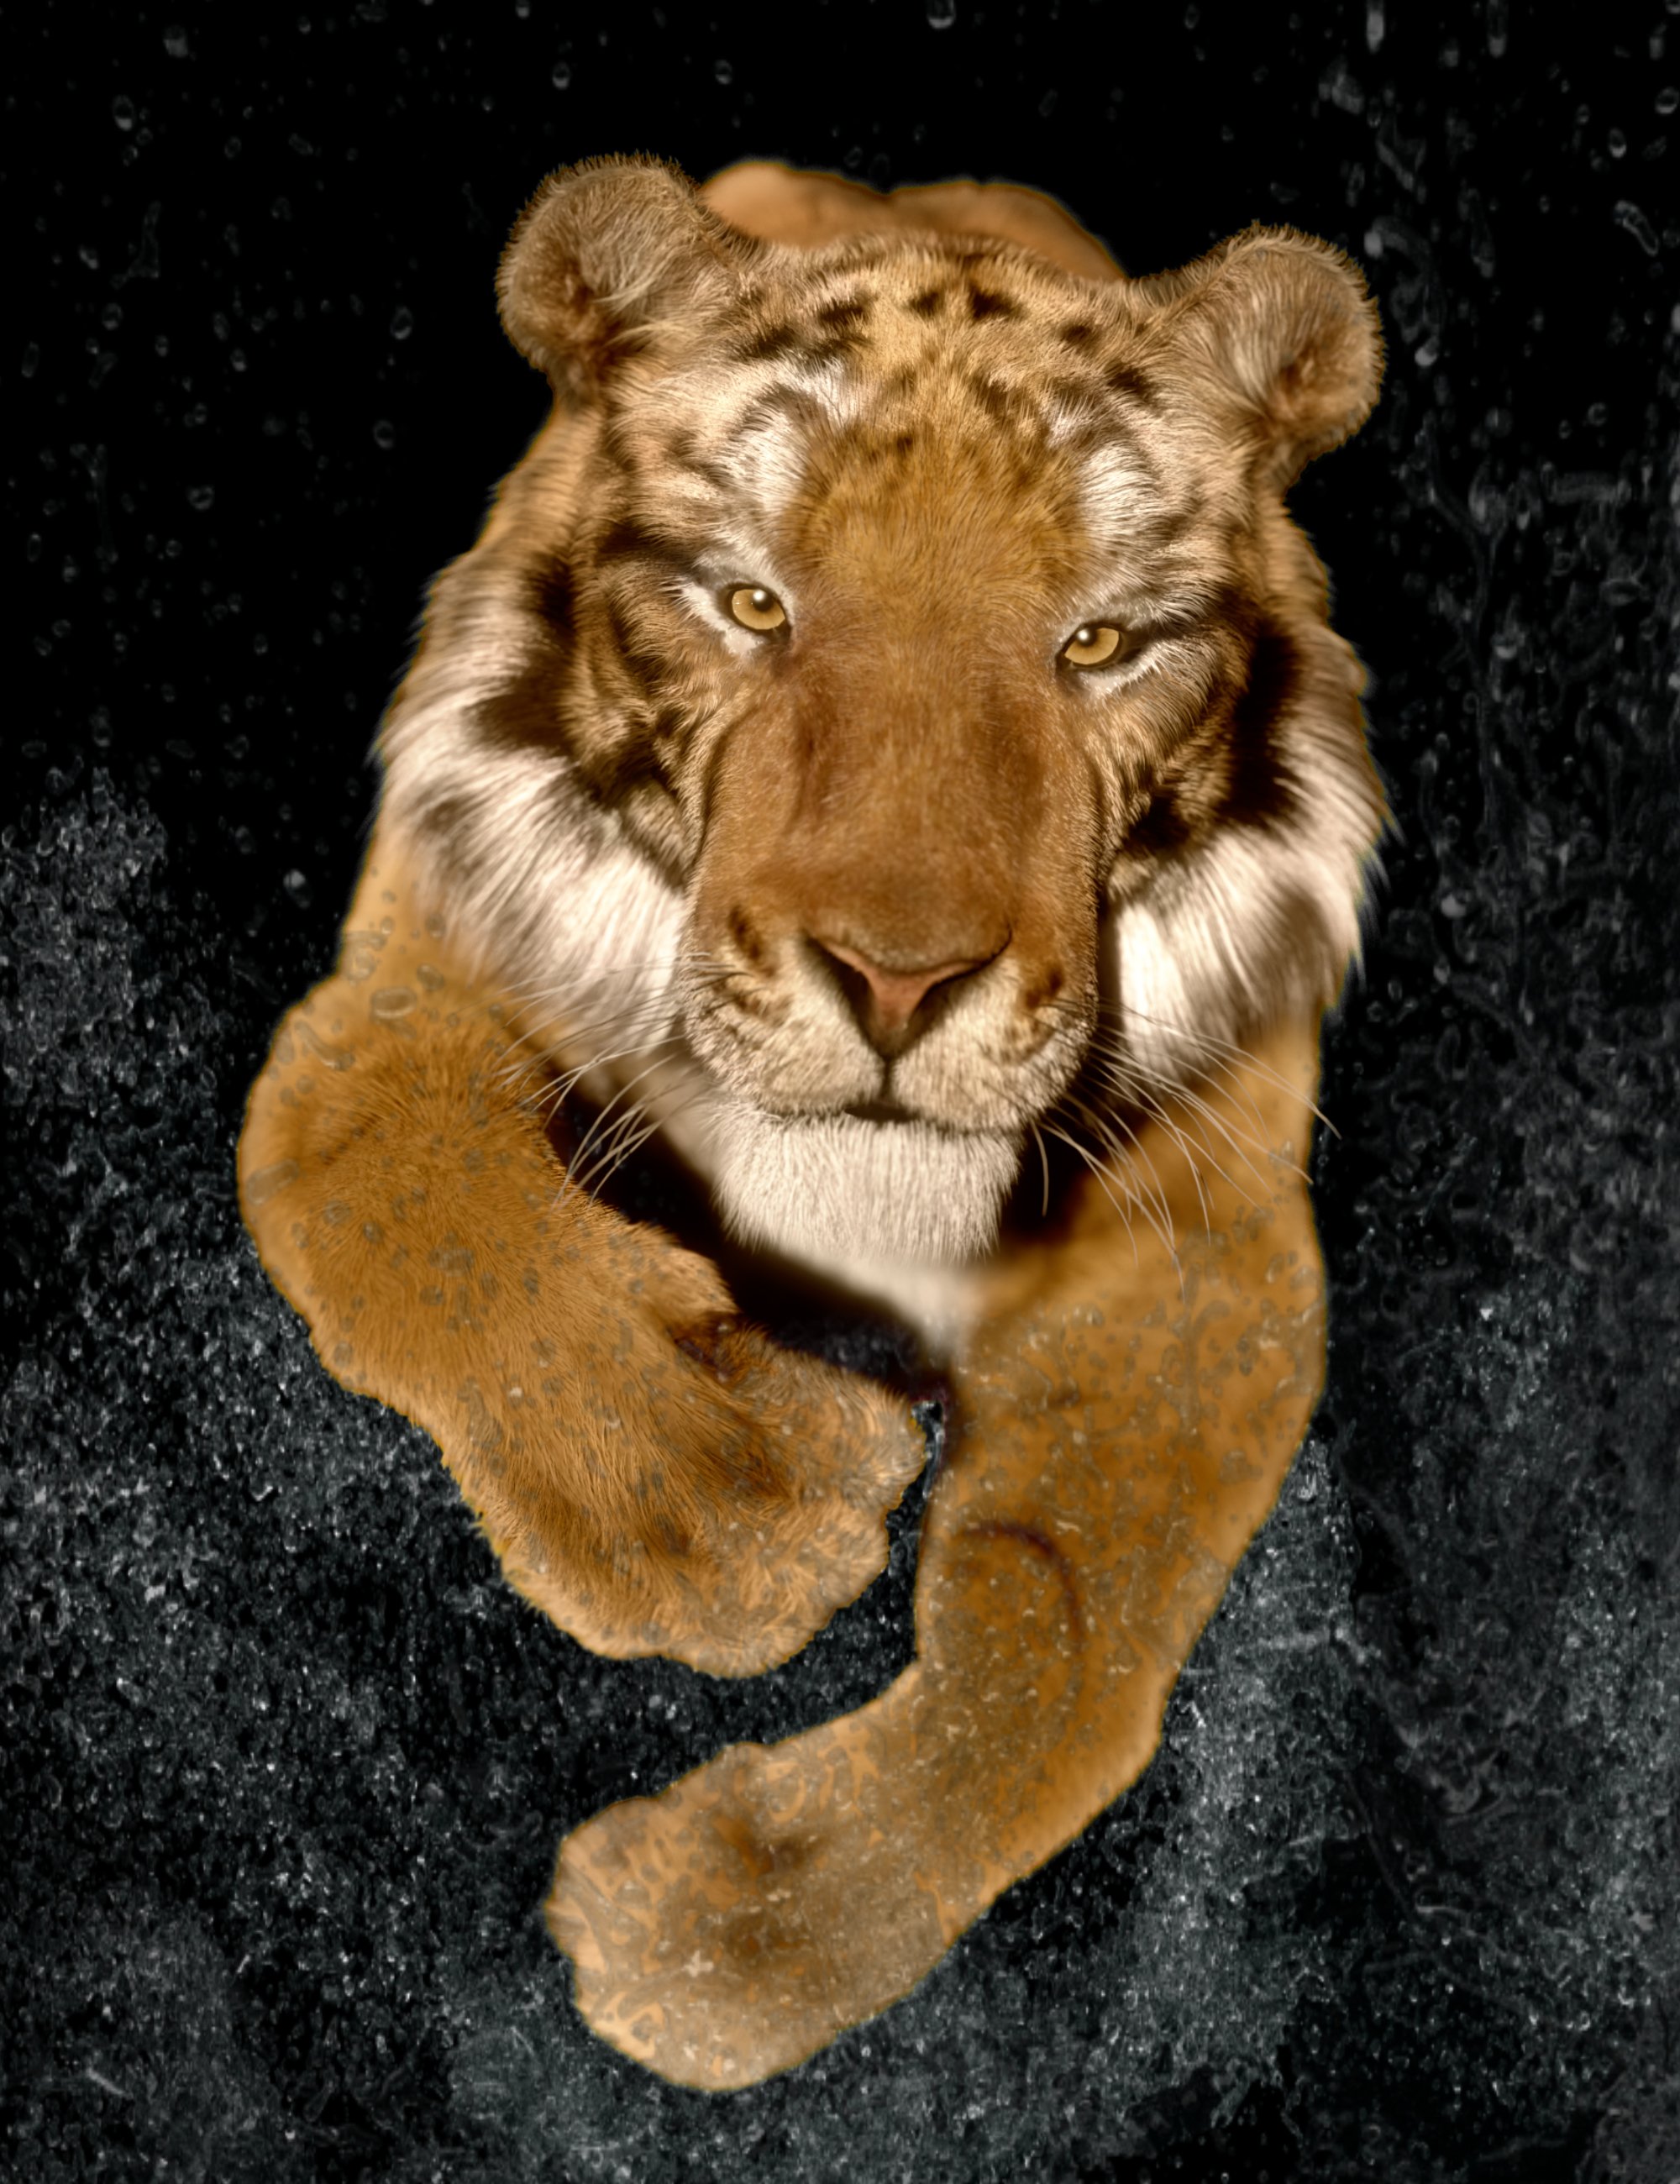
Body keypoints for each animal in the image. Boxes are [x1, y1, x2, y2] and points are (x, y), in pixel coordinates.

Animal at [237, 155, 1384, 2091]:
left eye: (1095, 642)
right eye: (755, 606)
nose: (899, 983)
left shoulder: (1207, 1253)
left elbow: (1060, 1625)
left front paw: (724, 1935)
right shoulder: (407, 978)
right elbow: (388, 1178)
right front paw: (727, 1508)